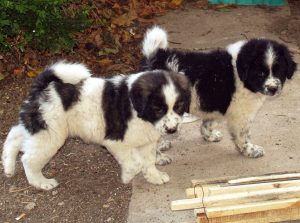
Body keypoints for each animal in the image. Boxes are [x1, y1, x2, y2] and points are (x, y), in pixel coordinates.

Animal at [1, 61, 190, 190]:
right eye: (158, 109)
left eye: (179, 107)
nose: (172, 130)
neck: (139, 112)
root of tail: (43, 86)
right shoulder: (115, 142)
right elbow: (135, 163)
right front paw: (128, 176)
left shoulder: (147, 141)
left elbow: (148, 161)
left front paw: (154, 176)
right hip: (50, 135)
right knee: (28, 158)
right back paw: (41, 182)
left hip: (39, 127)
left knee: (15, 135)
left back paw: (8, 165)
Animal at [142, 26, 296, 159]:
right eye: (261, 74)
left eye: (279, 71)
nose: (273, 89)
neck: (240, 72)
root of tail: (155, 59)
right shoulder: (240, 115)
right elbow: (243, 135)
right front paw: (250, 150)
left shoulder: (215, 105)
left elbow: (208, 124)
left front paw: (209, 136)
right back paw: (159, 158)